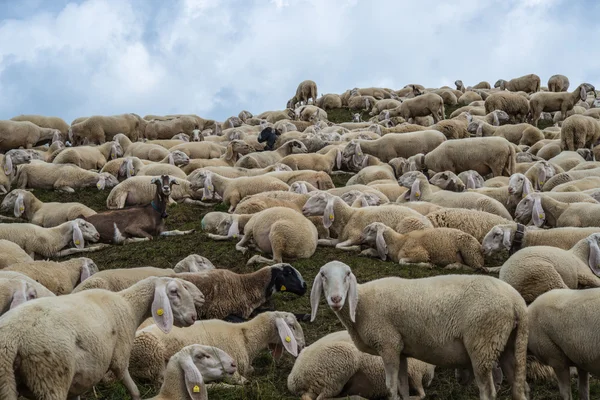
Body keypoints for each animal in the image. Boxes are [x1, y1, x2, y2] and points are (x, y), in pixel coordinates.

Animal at [0, 276, 204, 400]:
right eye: (174, 292)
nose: (193, 317)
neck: (129, 306)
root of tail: (10, 339)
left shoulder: (76, 380)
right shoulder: (120, 354)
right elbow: (132, 386)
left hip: (10, 382)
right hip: (49, 377)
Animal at [288, 330, 434, 400]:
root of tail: (294, 379)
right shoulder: (414, 371)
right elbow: (421, 394)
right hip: (337, 366)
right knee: (319, 398)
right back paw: (358, 398)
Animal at [302, 192, 434, 252]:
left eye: (320, 199)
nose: (303, 209)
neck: (349, 216)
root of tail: (431, 226)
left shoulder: (355, 236)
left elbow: (338, 246)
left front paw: (356, 247)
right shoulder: (341, 238)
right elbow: (324, 241)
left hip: (405, 226)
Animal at [312, 260, 528, 400]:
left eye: (347, 274)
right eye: (323, 275)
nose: (336, 299)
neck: (361, 303)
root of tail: (517, 302)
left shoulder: (388, 344)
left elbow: (391, 387)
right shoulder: (400, 349)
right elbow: (403, 386)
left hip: (483, 343)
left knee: (488, 392)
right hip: (508, 344)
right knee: (519, 388)